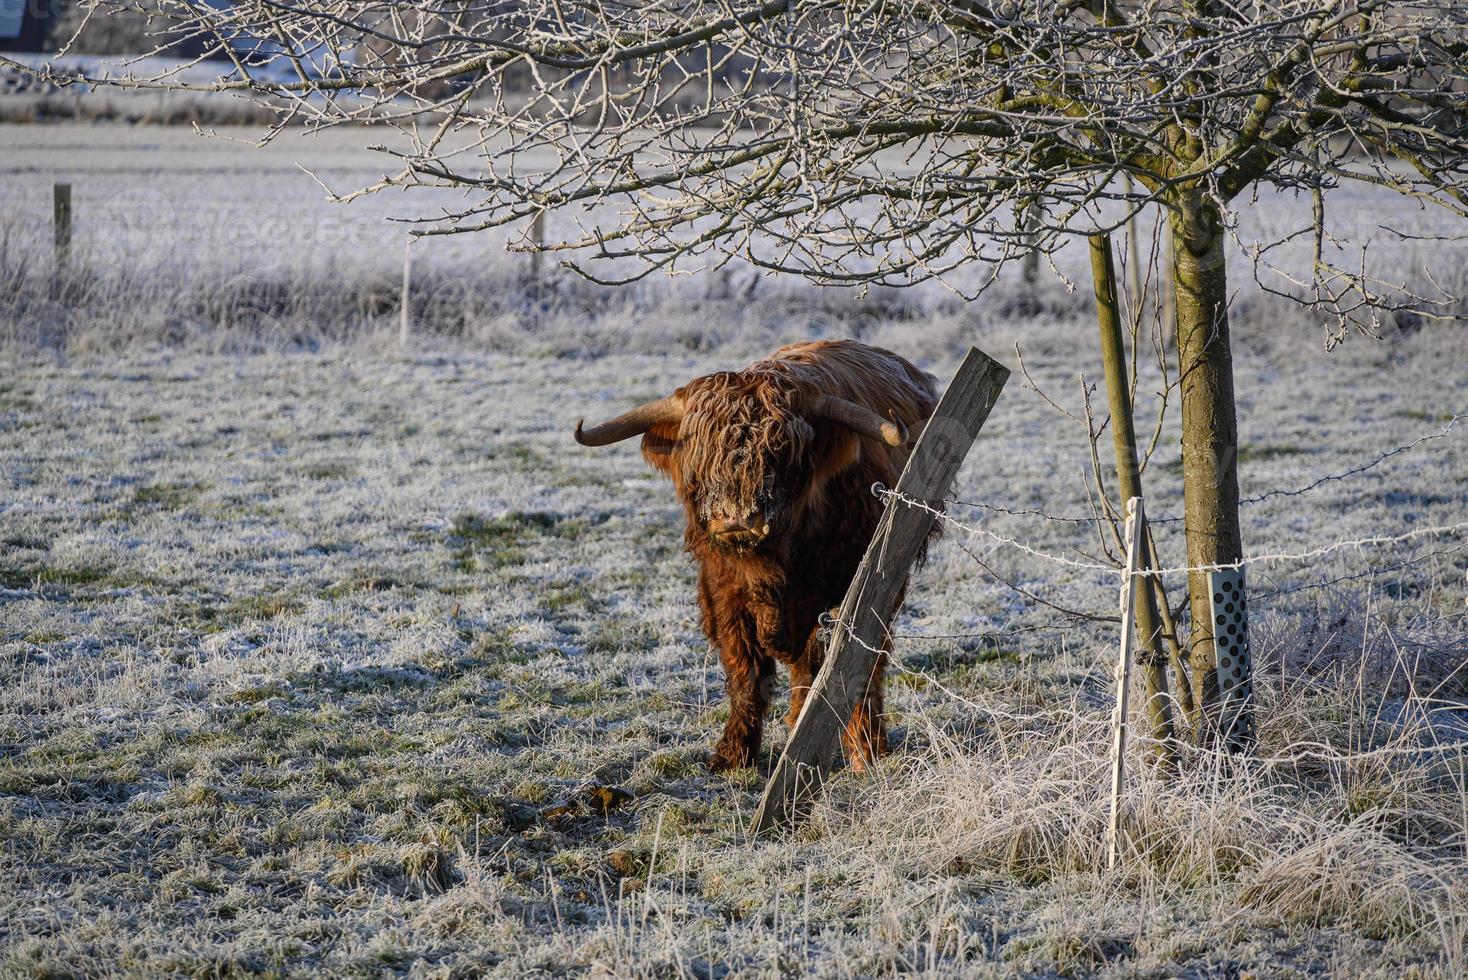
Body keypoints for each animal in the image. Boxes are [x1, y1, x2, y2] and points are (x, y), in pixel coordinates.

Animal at [575, 337, 939, 774]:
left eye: (781, 451)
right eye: (702, 451)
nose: (736, 517)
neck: (775, 561)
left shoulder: (863, 585)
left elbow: (858, 663)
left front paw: (866, 750)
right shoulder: (723, 591)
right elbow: (746, 671)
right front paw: (733, 754)